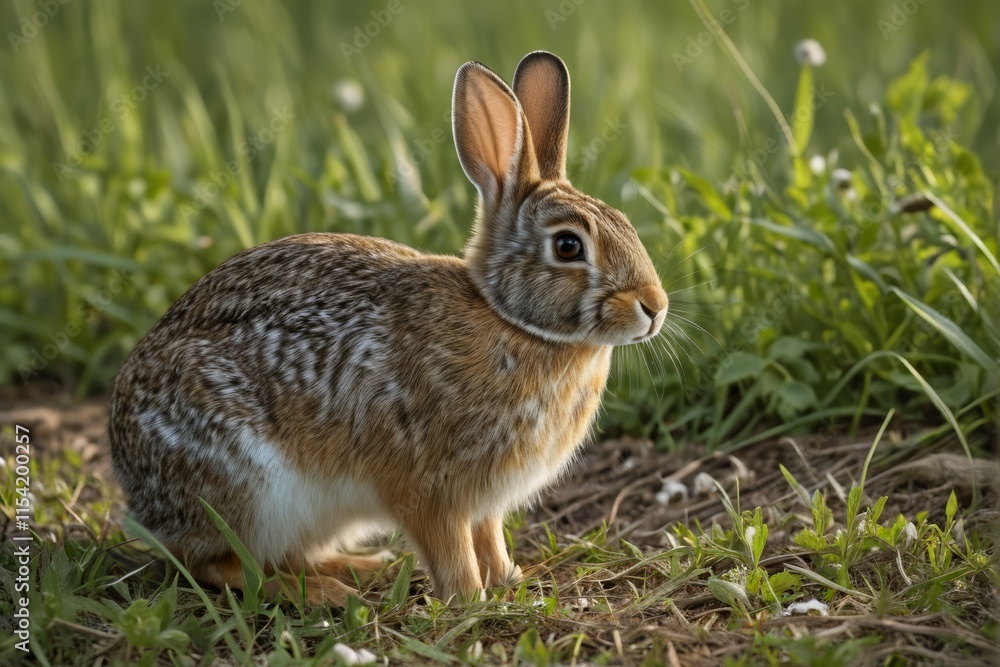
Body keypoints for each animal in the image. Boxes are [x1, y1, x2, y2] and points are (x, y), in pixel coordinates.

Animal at [108, 50, 668, 605]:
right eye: (569, 246)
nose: (655, 307)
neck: (514, 324)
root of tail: (136, 488)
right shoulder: (428, 486)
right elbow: (450, 548)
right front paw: (470, 600)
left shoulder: (484, 500)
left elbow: (488, 537)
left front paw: (511, 581)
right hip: (248, 488)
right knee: (216, 564)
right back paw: (328, 593)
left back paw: (359, 567)